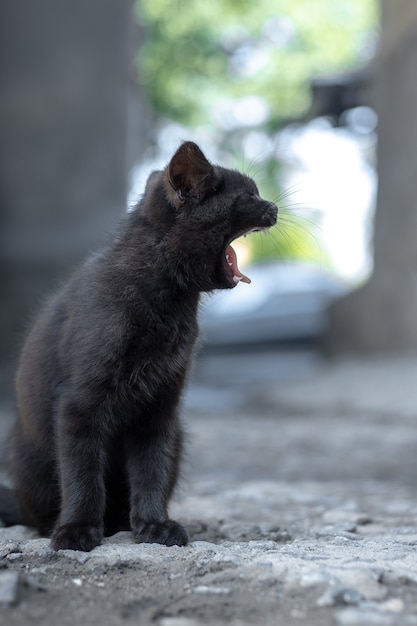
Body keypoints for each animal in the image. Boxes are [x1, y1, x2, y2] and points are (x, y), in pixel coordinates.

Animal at [3, 140, 278, 544]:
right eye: (249, 195)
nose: (274, 207)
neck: (167, 300)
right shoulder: (77, 405)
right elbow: (82, 472)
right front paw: (76, 529)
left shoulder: (160, 406)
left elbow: (151, 468)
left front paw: (154, 524)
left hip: (179, 435)